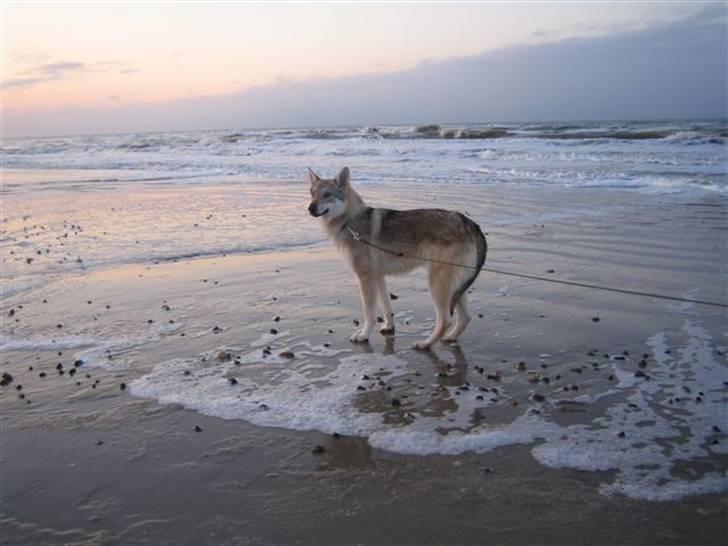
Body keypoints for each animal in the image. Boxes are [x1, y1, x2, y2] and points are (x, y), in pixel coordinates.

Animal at [308, 164, 490, 348]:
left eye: (327, 194)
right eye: (312, 193)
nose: (309, 208)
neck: (350, 220)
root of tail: (470, 223)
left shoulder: (365, 278)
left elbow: (369, 313)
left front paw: (363, 335)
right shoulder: (378, 276)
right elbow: (386, 307)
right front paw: (389, 327)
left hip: (438, 285)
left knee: (445, 321)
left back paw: (425, 344)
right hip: (456, 288)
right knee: (465, 318)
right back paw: (450, 337)